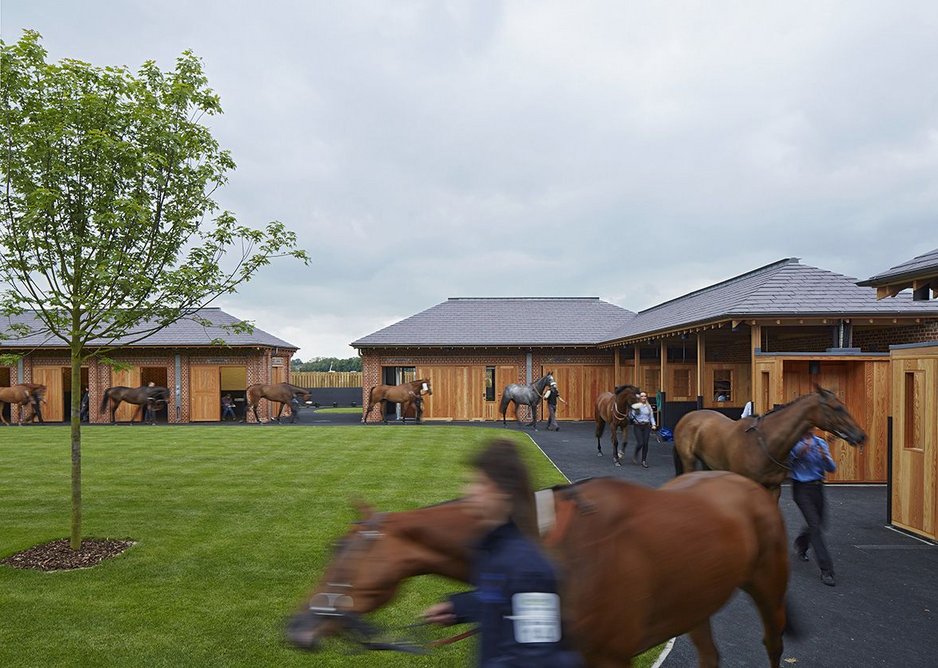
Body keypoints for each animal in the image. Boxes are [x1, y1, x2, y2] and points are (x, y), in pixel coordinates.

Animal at [286, 472, 788, 664]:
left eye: (339, 549)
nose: (296, 626)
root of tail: (750, 485)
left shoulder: (611, 658)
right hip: (696, 603)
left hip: (770, 590)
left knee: (772, 641)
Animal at [672, 384, 864, 498]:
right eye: (837, 408)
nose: (861, 435)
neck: (764, 445)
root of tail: (687, 417)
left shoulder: (773, 488)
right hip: (688, 460)